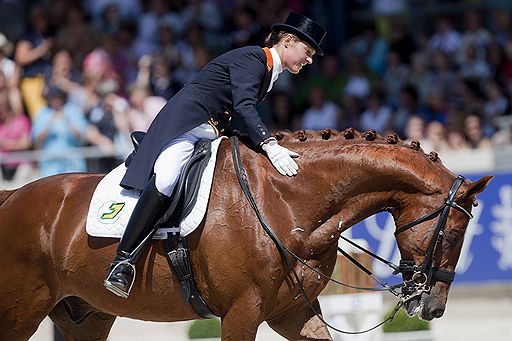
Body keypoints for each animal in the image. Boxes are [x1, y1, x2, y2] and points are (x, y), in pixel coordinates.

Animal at [0, 129, 492, 338]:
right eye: (452, 235)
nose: (432, 308)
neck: (289, 201)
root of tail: (13, 195)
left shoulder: (292, 312)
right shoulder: (242, 312)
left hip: (85, 315)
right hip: (21, 312)